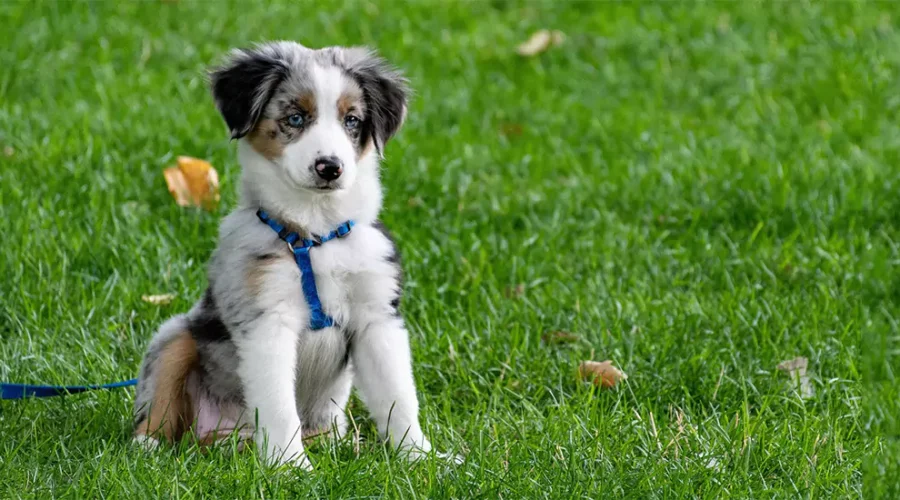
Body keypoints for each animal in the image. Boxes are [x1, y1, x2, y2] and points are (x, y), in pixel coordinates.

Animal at [134, 42, 454, 468]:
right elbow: (278, 404)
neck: (316, 234)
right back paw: (148, 446)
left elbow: (399, 397)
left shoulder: (377, 318)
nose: (329, 167)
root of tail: (224, 436)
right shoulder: (267, 321)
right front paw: (290, 467)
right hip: (175, 336)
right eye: (296, 118)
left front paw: (421, 458)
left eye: (352, 120)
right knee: (160, 403)